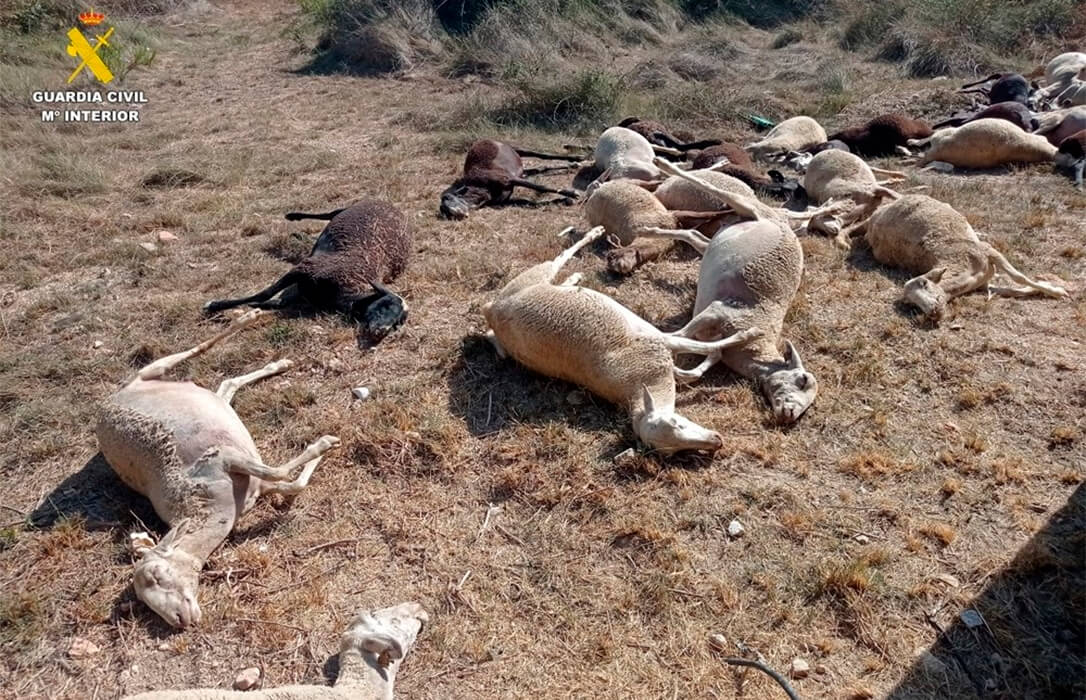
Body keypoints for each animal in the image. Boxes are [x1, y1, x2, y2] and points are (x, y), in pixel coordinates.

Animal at [203, 197, 410, 345]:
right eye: (386, 306)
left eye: (397, 324)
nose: (381, 332)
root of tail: (390, 205)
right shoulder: (302, 270)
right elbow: (265, 293)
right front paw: (214, 305)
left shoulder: (303, 288)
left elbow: (277, 302)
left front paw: (254, 306)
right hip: (346, 210)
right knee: (329, 213)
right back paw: (293, 216)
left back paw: (299, 234)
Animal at [438, 138, 582, 218]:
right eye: (444, 211)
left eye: (448, 199)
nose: (453, 213)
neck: (480, 188)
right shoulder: (508, 196)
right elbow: (527, 201)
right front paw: (563, 199)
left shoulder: (509, 178)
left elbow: (541, 187)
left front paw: (572, 194)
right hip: (521, 169)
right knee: (540, 168)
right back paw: (572, 165)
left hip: (517, 149)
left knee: (542, 155)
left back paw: (577, 158)